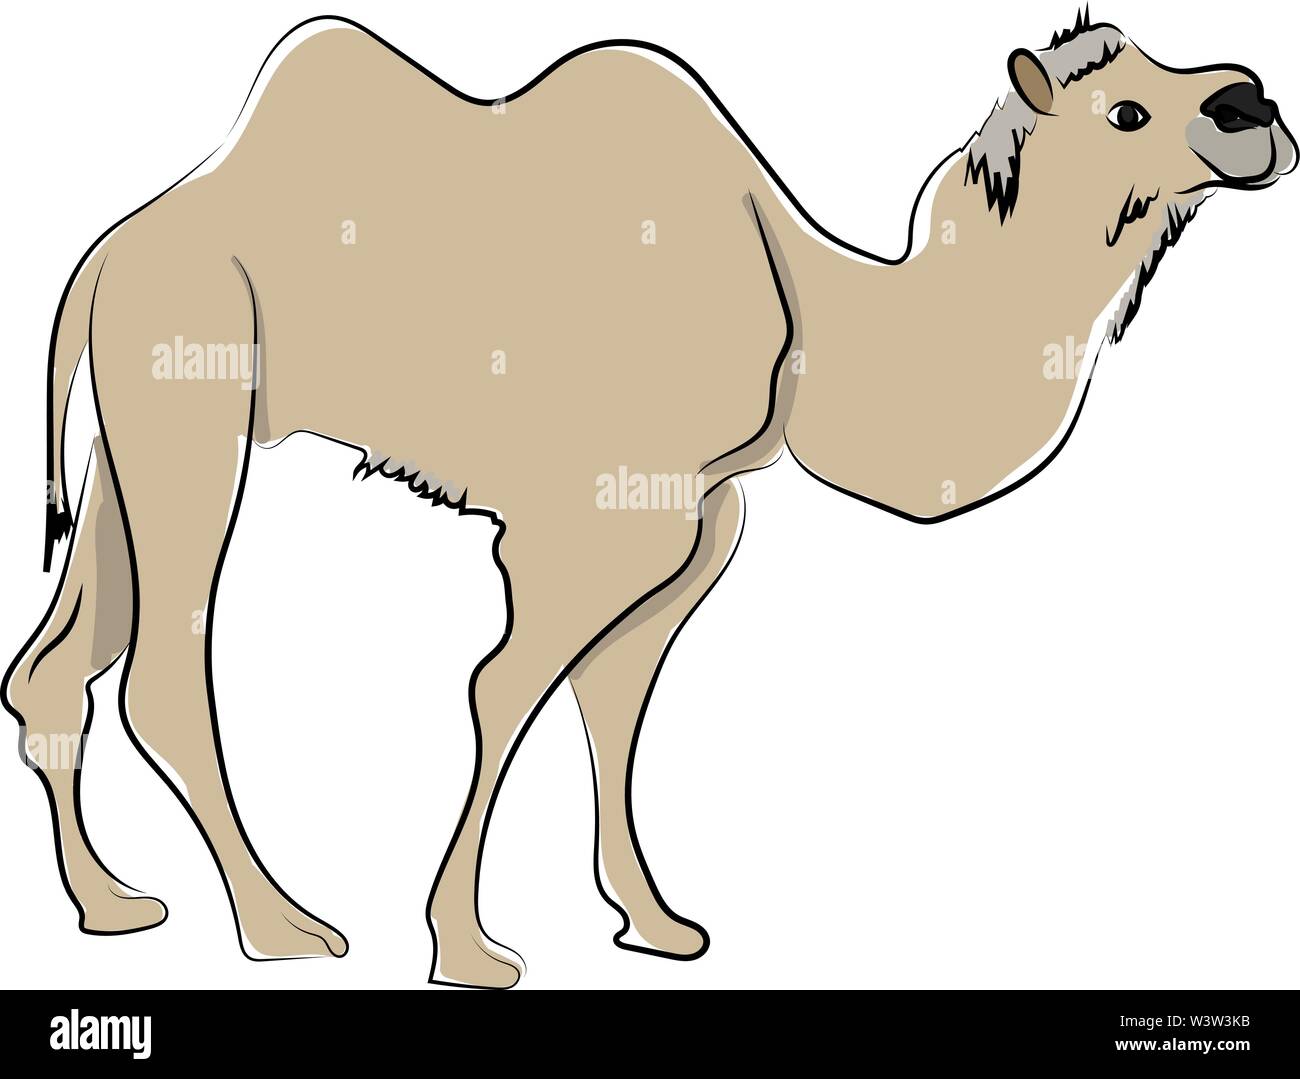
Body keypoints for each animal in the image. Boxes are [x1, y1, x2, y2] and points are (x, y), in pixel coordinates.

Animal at [3, 13, 1294, 988]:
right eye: (1125, 113)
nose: (1252, 107)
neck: (816, 316)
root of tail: (108, 249)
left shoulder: (700, 519)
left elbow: (614, 698)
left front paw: (658, 924)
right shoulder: (590, 516)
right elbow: (503, 688)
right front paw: (468, 949)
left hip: (132, 418)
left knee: (56, 661)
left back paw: (112, 905)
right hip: (192, 364)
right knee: (164, 667)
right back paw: (284, 928)